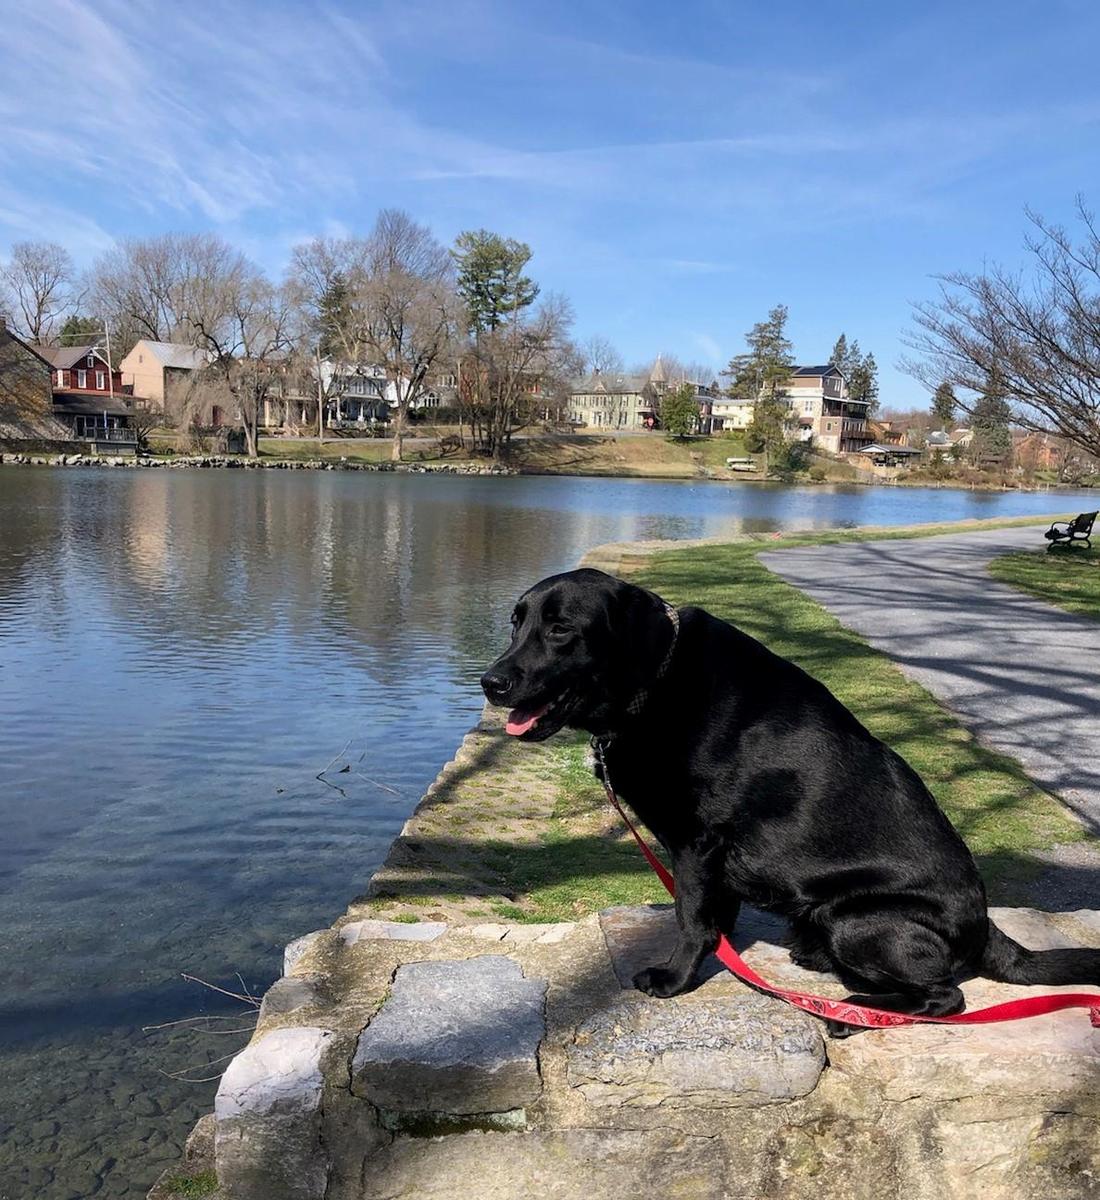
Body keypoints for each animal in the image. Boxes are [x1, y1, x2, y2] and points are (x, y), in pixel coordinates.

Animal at [482, 566, 1098, 1027]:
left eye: (561, 628)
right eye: (515, 624)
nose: (491, 682)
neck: (655, 682)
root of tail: (986, 926)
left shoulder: (697, 842)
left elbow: (692, 919)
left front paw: (676, 979)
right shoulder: (712, 856)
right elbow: (717, 917)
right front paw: (723, 960)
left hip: (859, 919)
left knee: (947, 996)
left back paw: (853, 1012)